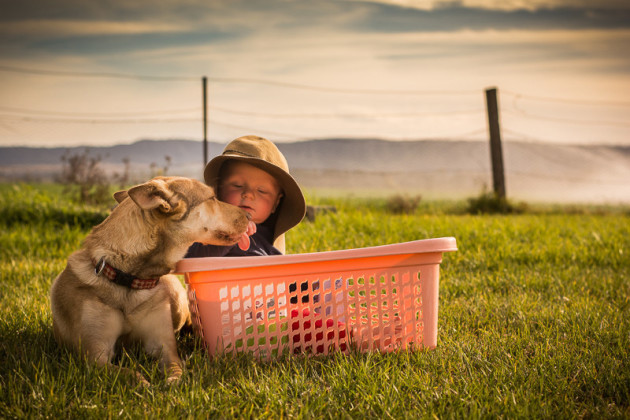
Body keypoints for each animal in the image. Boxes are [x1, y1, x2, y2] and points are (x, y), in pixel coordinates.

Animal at [50, 177, 252, 384]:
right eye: (212, 198)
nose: (249, 214)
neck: (129, 278)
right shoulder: (94, 356)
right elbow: (128, 374)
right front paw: (145, 384)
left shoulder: (164, 346)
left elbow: (175, 367)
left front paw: (171, 383)